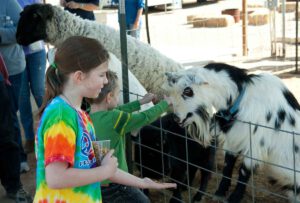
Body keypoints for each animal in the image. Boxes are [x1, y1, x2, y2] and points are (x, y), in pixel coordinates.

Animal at [163, 62, 300, 202]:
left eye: (188, 91)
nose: (176, 118)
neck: (242, 100)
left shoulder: (255, 145)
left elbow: (244, 171)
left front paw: (234, 198)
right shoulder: (233, 139)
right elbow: (227, 165)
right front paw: (219, 192)